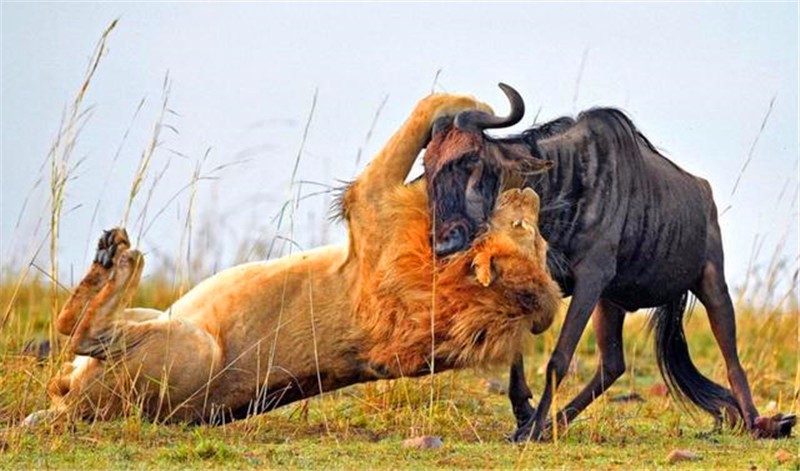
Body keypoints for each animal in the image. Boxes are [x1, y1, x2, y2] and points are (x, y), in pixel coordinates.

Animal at [26, 94, 564, 426]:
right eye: (534, 239)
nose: (531, 198)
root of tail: (75, 411)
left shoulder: (372, 202)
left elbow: (431, 100)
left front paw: (476, 112)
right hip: (153, 319)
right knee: (69, 348)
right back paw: (109, 260)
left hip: (193, 346)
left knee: (79, 331)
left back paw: (121, 259)